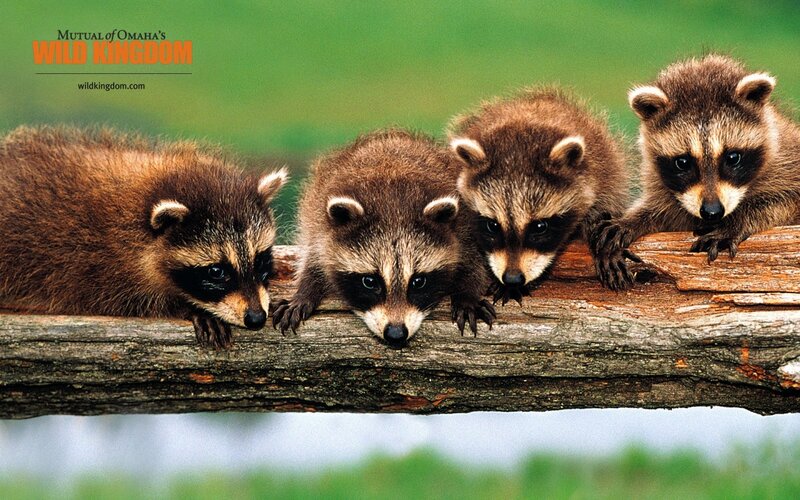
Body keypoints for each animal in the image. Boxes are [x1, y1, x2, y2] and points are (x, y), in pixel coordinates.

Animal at [0, 126, 288, 348]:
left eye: (260, 260)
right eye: (216, 272)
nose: (256, 318)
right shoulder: (97, 267)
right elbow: (132, 301)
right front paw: (188, 308)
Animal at [272, 129, 495, 348]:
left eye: (418, 282)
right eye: (370, 281)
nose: (396, 333)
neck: (393, 204)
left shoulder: (463, 227)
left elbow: (473, 262)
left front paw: (467, 295)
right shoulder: (319, 228)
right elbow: (314, 260)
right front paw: (304, 292)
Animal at [594, 54, 800, 290]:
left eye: (733, 158)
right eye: (683, 162)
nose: (712, 212)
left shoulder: (788, 162)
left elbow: (785, 201)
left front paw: (735, 221)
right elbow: (662, 211)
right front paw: (631, 220)